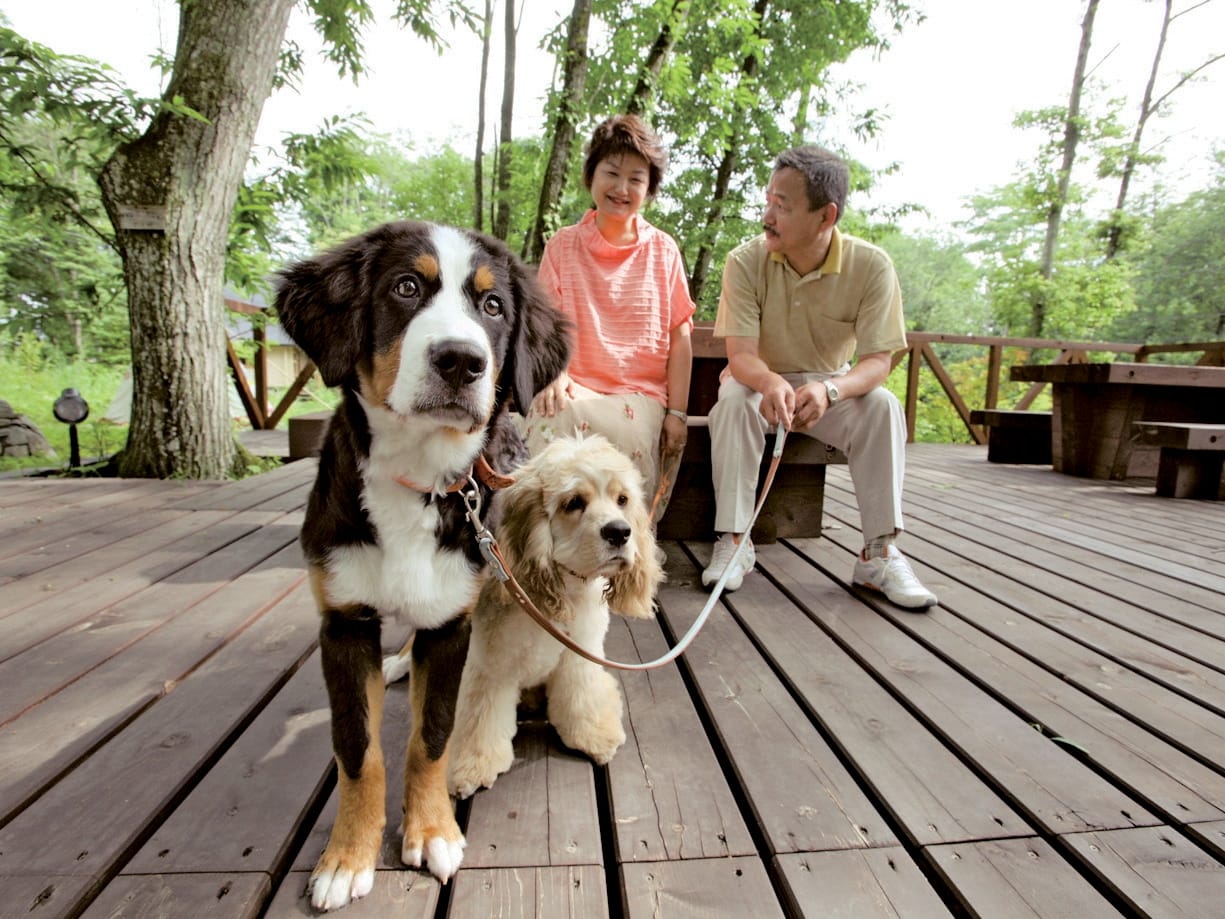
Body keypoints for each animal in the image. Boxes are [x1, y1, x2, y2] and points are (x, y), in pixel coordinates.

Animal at [273, 218, 568, 916]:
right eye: (406, 287)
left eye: (493, 306)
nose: (462, 360)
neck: (415, 478)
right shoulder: (343, 623)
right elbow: (358, 751)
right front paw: (346, 858)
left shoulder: (450, 621)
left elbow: (430, 737)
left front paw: (432, 829)